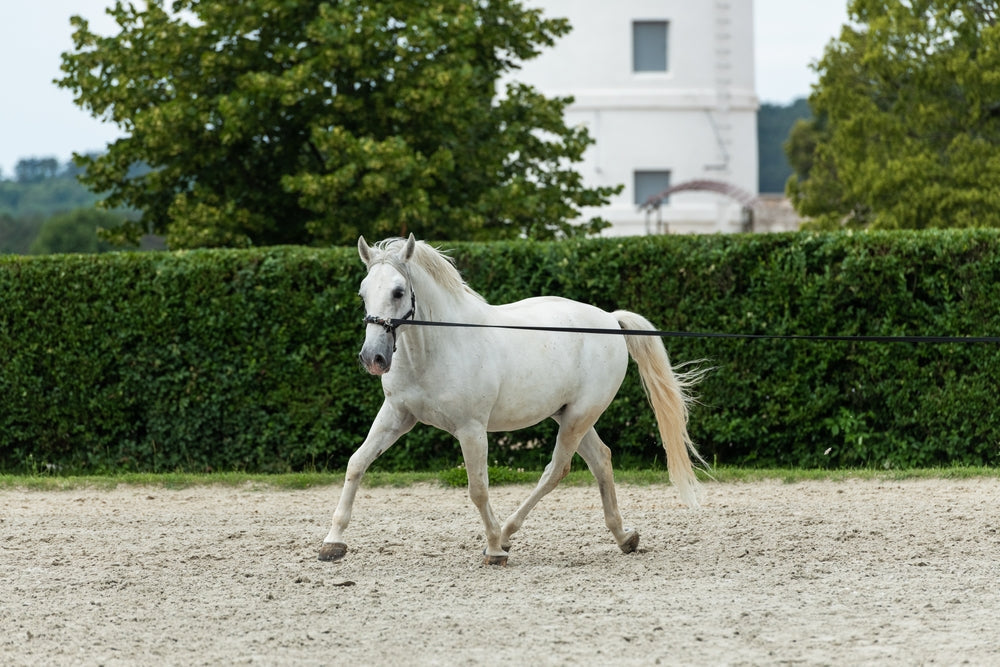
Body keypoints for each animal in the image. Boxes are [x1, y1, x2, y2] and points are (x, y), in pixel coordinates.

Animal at [319, 234, 706, 565]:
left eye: (399, 291)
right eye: (362, 293)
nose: (373, 358)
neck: (435, 348)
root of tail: (610, 319)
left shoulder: (471, 429)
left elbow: (478, 488)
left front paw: (493, 549)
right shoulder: (396, 416)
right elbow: (356, 464)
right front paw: (332, 543)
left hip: (578, 417)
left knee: (557, 469)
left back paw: (506, 535)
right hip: (567, 415)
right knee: (601, 460)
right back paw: (624, 537)